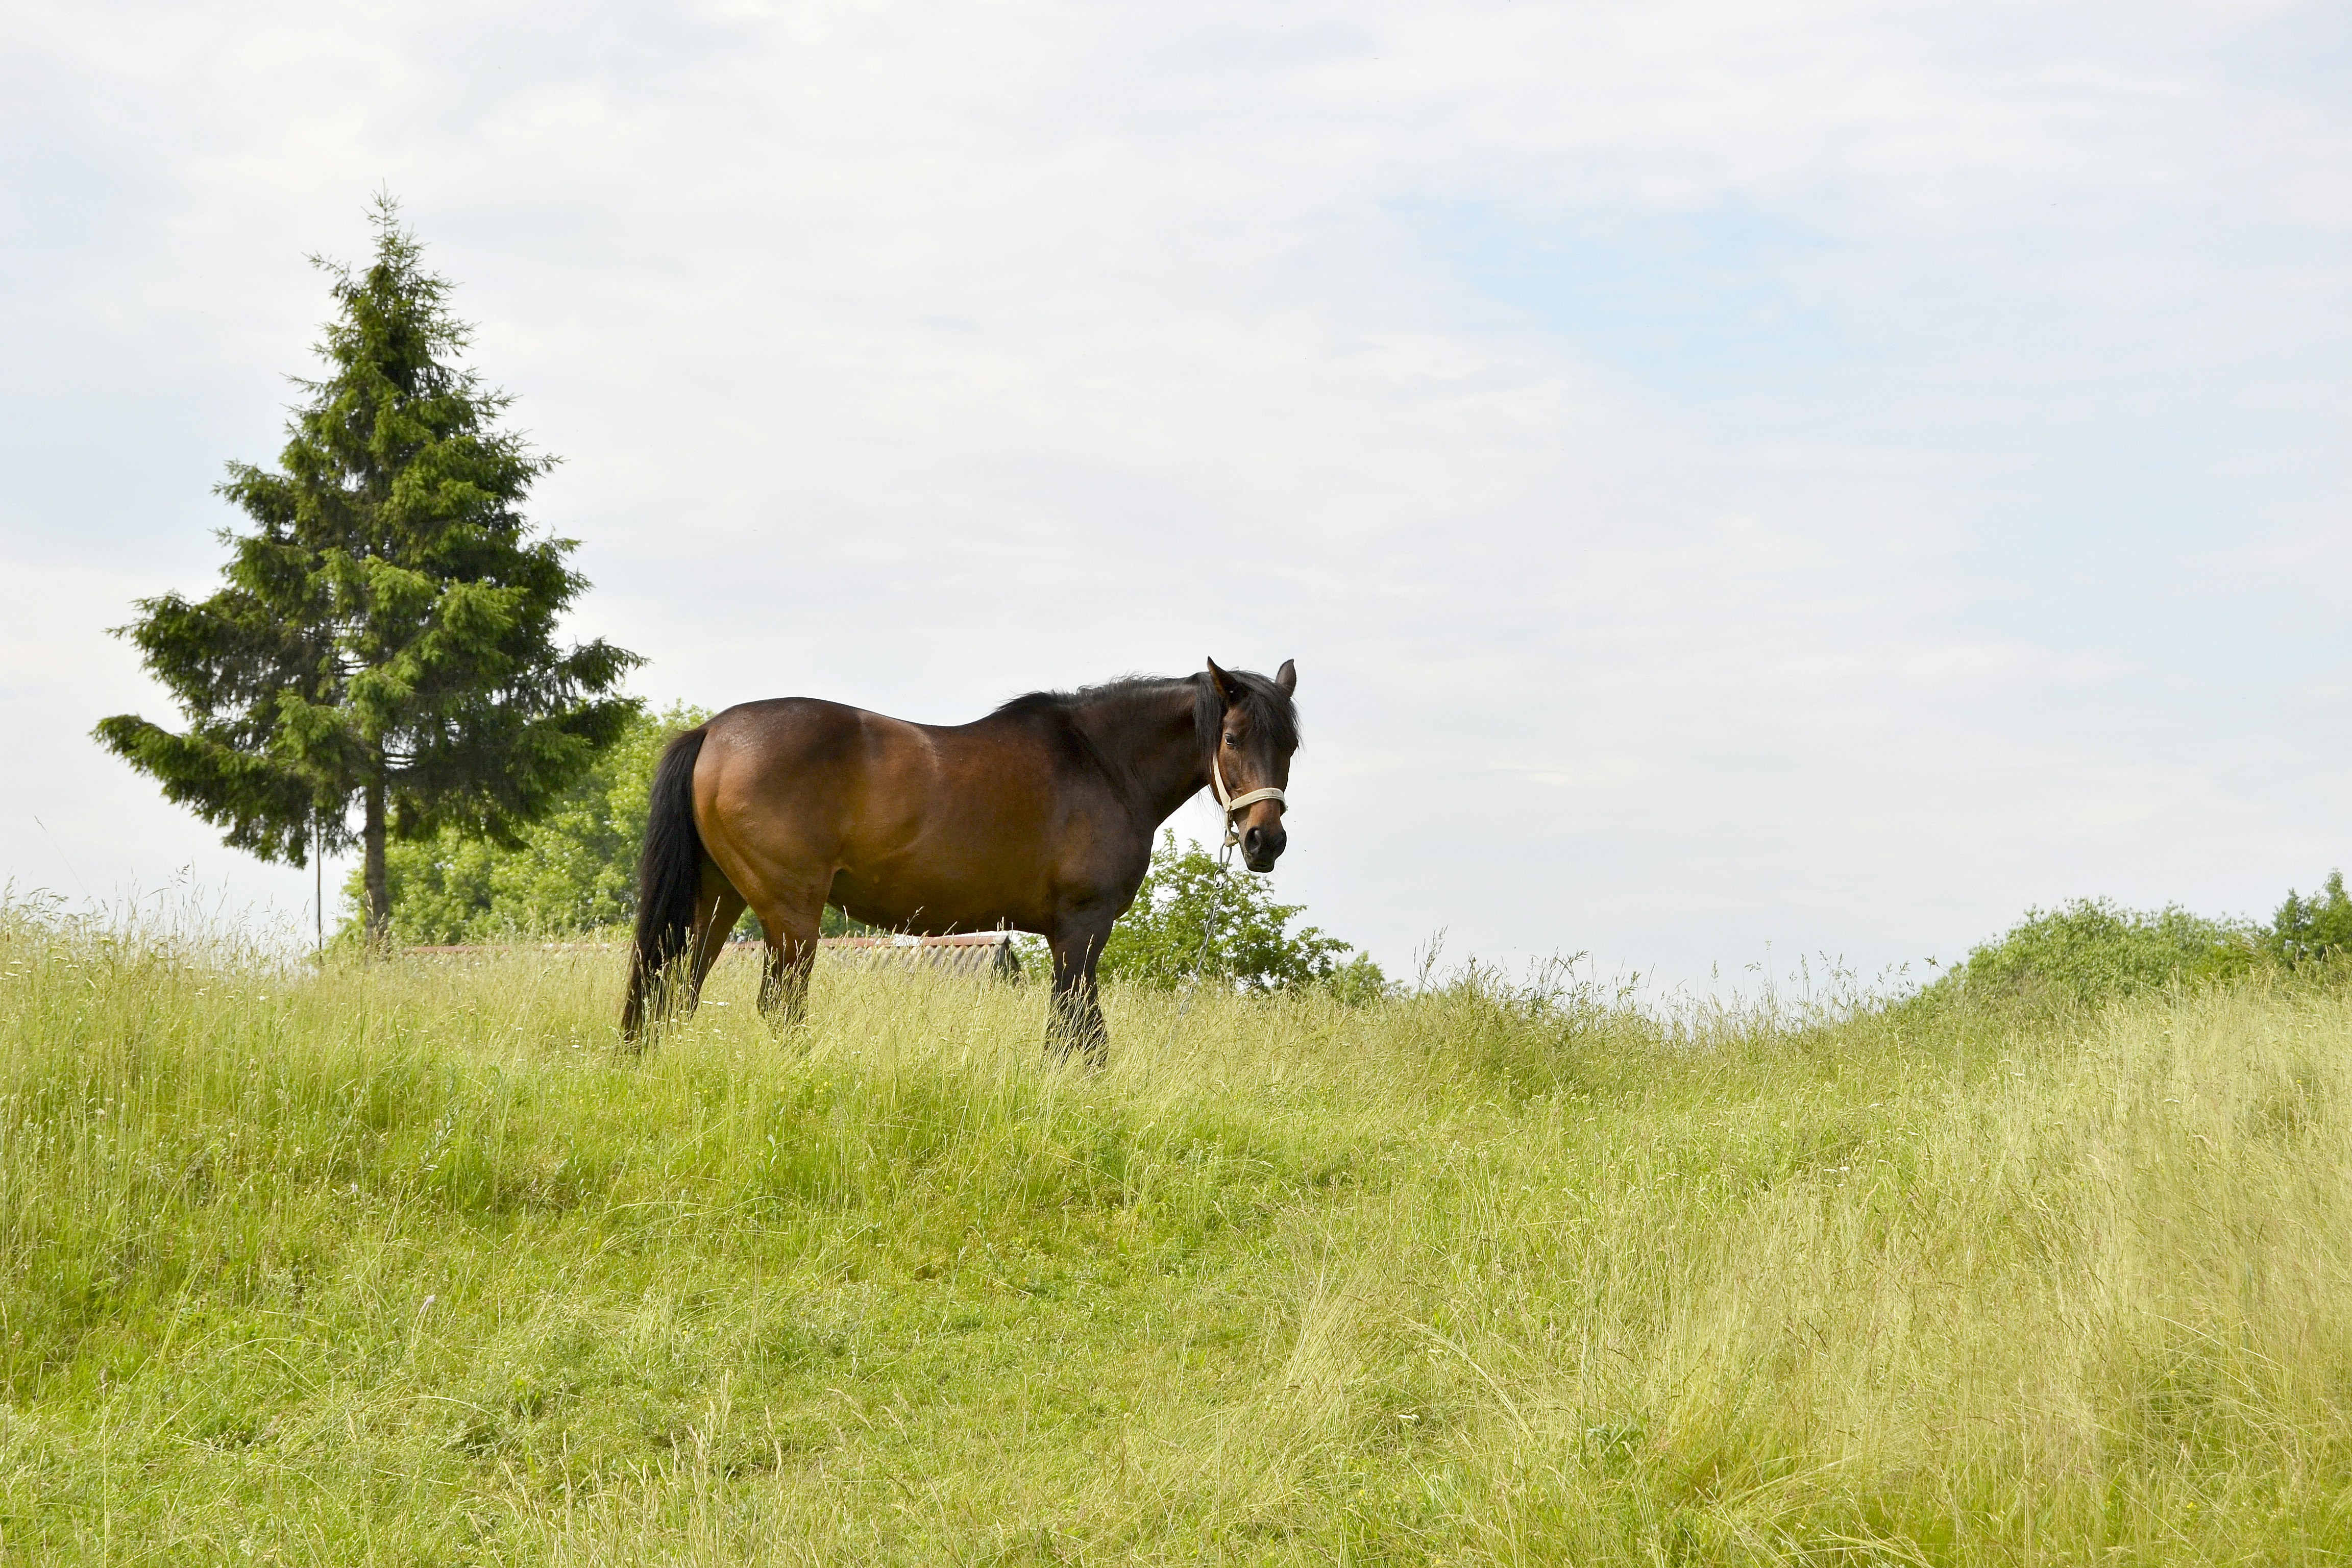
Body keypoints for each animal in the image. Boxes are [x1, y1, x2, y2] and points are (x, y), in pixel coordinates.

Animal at [620, 658, 1299, 1061]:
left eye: (1291, 744)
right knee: (780, 1006)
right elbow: (1080, 1030)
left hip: (716, 900)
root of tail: (711, 731)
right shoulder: (1083, 925)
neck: (1102, 762)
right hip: (790, 912)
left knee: (672, 991)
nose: (1265, 841)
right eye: (1231, 738)